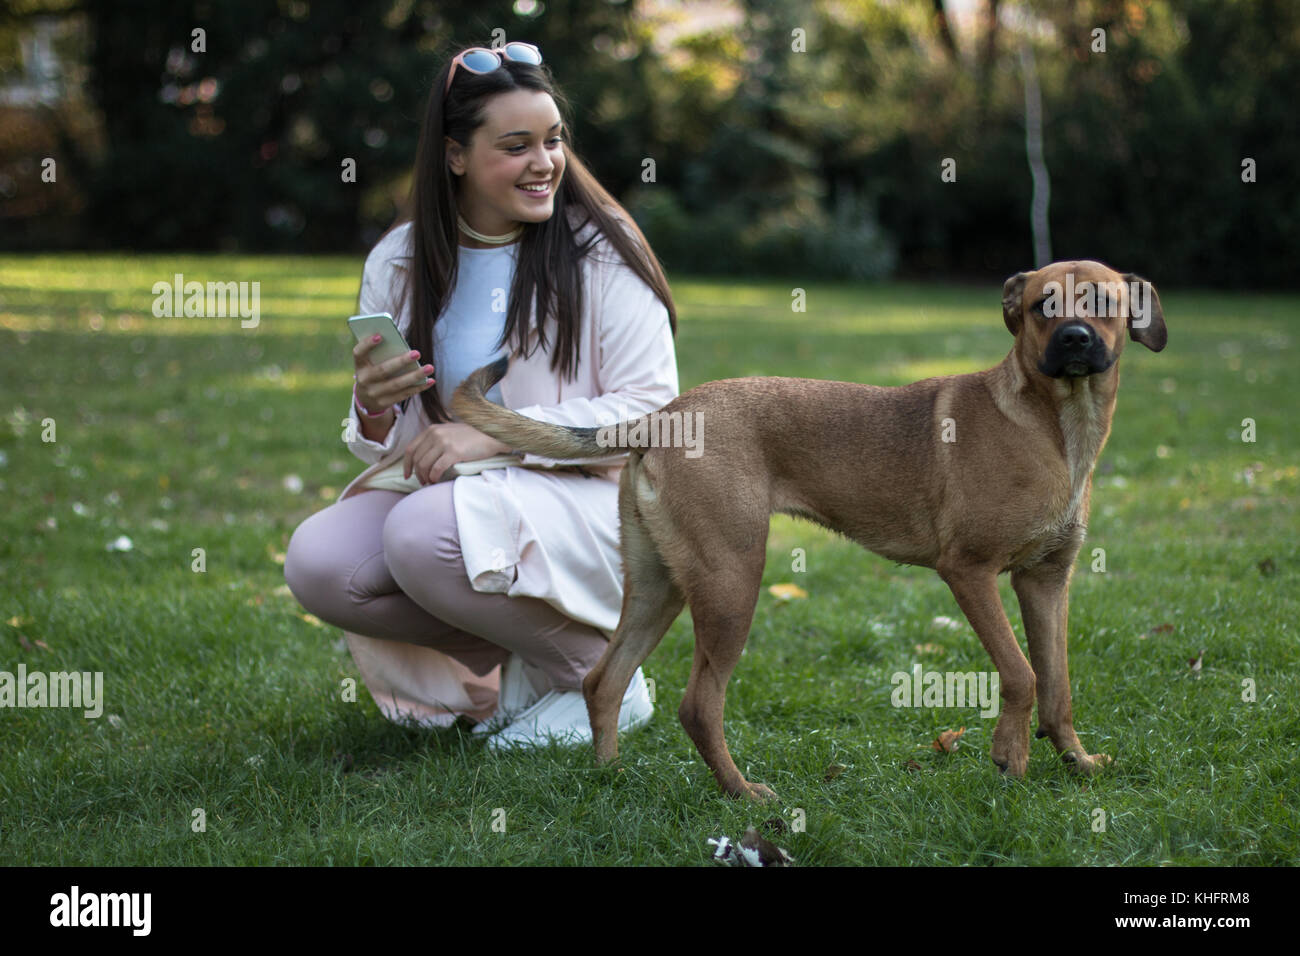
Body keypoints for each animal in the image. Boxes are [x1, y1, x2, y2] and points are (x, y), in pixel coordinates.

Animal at [449, 260, 1170, 801]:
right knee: (697, 705)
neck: (1057, 426)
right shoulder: (969, 572)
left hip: (661, 585)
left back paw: (610, 778)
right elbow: (1022, 673)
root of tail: (664, 417)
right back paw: (743, 793)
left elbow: (1058, 683)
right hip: (732, 580)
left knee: (605, 680)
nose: (1075, 338)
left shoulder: (1046, 581)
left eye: (1103, 302)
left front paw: (1076, 761)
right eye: (1045, 305)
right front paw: (1009, 760)